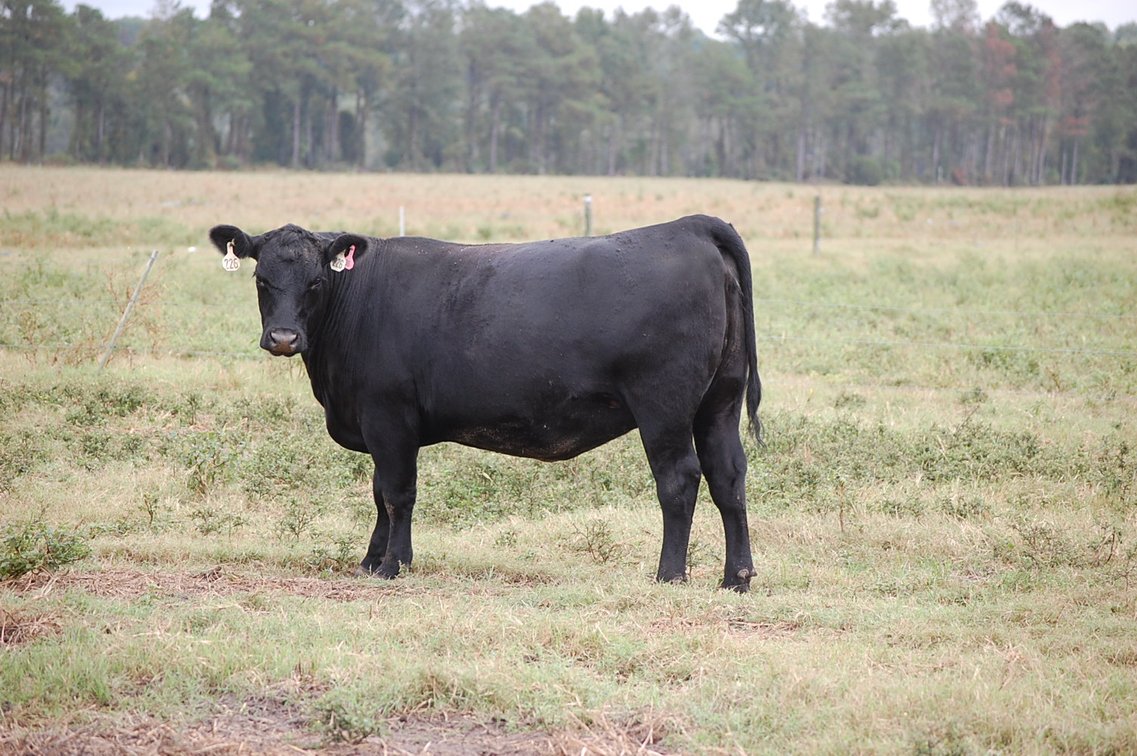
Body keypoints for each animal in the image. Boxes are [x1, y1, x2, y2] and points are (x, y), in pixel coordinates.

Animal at [208, 215, 762, 590]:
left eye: (316, 282)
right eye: (261, 280)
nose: (284, 338)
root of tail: (688, 227)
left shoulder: (388, 417)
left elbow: (397, 493)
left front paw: (392, 565)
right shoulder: (376, 424)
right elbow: (379, 494)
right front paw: (369, 562)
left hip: (663, 407)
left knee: (679, 480)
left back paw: (669, 574)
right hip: (720, 402)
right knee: (728, 477)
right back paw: (736, 577)